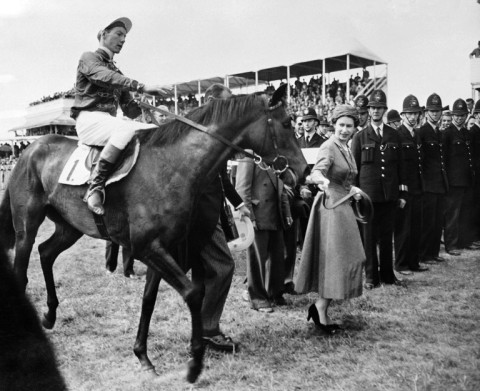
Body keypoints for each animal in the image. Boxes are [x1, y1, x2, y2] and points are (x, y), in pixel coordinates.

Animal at [0, 87, 308, 384]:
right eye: (287, 123)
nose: (304, 171)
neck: (170, 165)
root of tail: (30, 149)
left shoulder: (160, 249)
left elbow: (149, 300)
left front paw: (143, 356)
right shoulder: (148, 248)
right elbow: (193, 292)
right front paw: (194, 363)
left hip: (69, 226)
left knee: (46, 253)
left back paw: (49, 315)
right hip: (26, 226)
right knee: (22, 269)